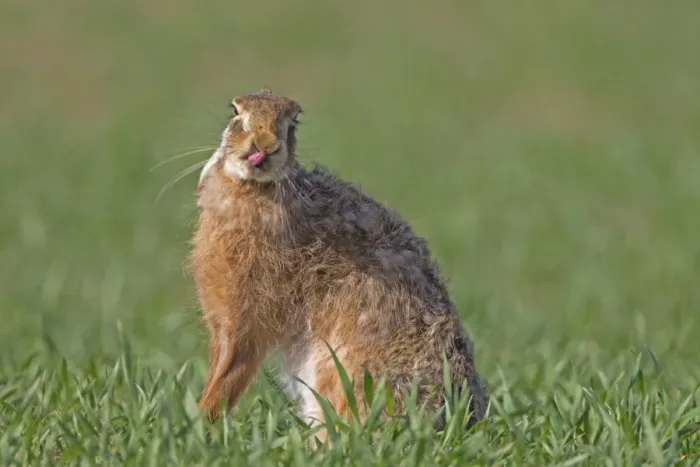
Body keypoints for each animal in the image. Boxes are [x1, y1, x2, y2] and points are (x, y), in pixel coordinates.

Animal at [190, 89, 488, 440]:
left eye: (293, 122)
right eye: (235, 112)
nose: (265, 145)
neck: (255, 189)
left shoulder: (245, 321)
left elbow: (230, 372)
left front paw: (200, 427)